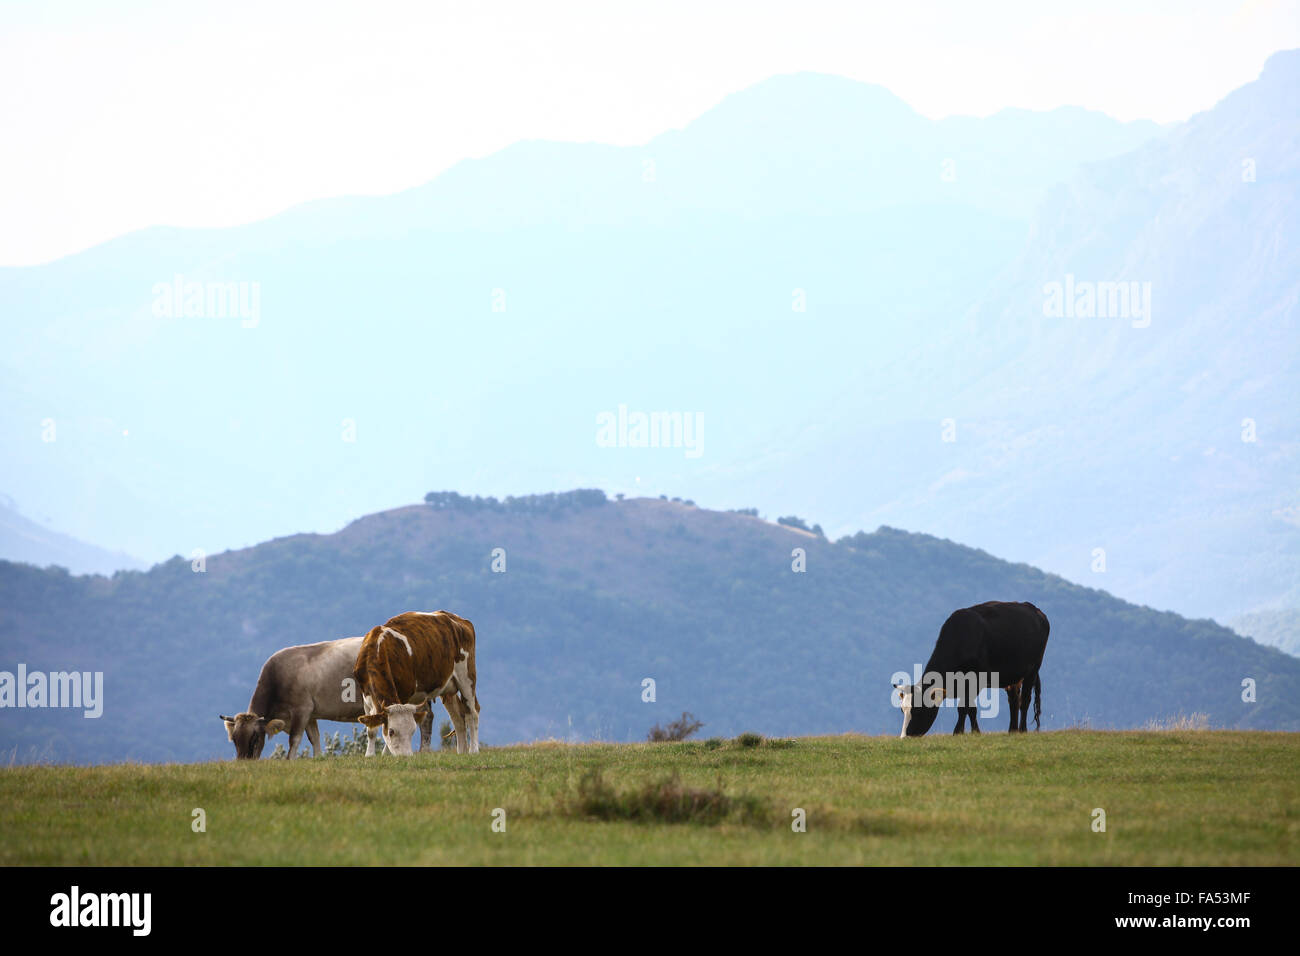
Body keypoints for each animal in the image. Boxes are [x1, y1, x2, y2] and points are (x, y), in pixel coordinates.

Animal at [219, 636, 435, 759]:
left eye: (255, 738)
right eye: (235, 739)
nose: (244, 762)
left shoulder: (301, 709)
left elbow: (294, 739)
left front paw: (290, 760)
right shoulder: (311, 714)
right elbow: (314, 738)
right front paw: (318, 758)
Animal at [354, 610, 480, 756]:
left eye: (412, 731)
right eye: (391, 731)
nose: (406, 756)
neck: (378, 648)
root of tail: (457, 618)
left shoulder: (404, 695)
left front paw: (386, 754)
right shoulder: (366, 697)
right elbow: (371, 729)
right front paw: (369, 755)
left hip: (467, 677)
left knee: (472, 713)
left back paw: (473, 750)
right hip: (448, 689)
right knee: (458, 718)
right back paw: (461, 751)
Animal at [893, 601, 1049, 737]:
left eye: (918, 710)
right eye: (902, 710)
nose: (905, 736)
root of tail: (1035, 610)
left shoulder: (975, 680)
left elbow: (964, 707)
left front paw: (957, 732)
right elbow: (971, 709)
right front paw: (975, 732)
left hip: (1033, 669)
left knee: (1025, 700)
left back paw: (1022, 729)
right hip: (1013, 677)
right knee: (1014, 701)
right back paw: (1012, 730)